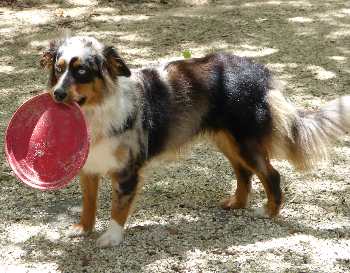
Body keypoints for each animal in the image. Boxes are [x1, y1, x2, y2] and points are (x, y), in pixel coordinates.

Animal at [39, 35, 350, 246]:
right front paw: (84, 228)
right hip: (227, 141)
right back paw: (237, 203)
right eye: (59, 68)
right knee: (244, 173)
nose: (57, 94)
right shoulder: (90, 165)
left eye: (82, 71)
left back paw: (269, 212)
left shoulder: (128, 171)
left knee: (270, 173)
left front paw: (112, 237)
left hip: (245, 142)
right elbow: (89, 202)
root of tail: (259, 70)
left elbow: (118, 206)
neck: (98, 109)